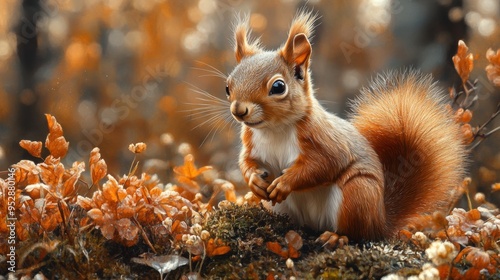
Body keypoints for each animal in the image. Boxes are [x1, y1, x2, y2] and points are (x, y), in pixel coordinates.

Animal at [225, 11, 466, 241]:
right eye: (228, 86)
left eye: (278, 87)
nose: (239, 110)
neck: (274, 129)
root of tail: (380, 221)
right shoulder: (251, 142)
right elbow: (245, 161)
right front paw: (254, 180)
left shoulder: (324, 138)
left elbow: (325, 163)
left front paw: (285, 182)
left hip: (357, 194)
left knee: (356, 233)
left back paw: (336, 237)